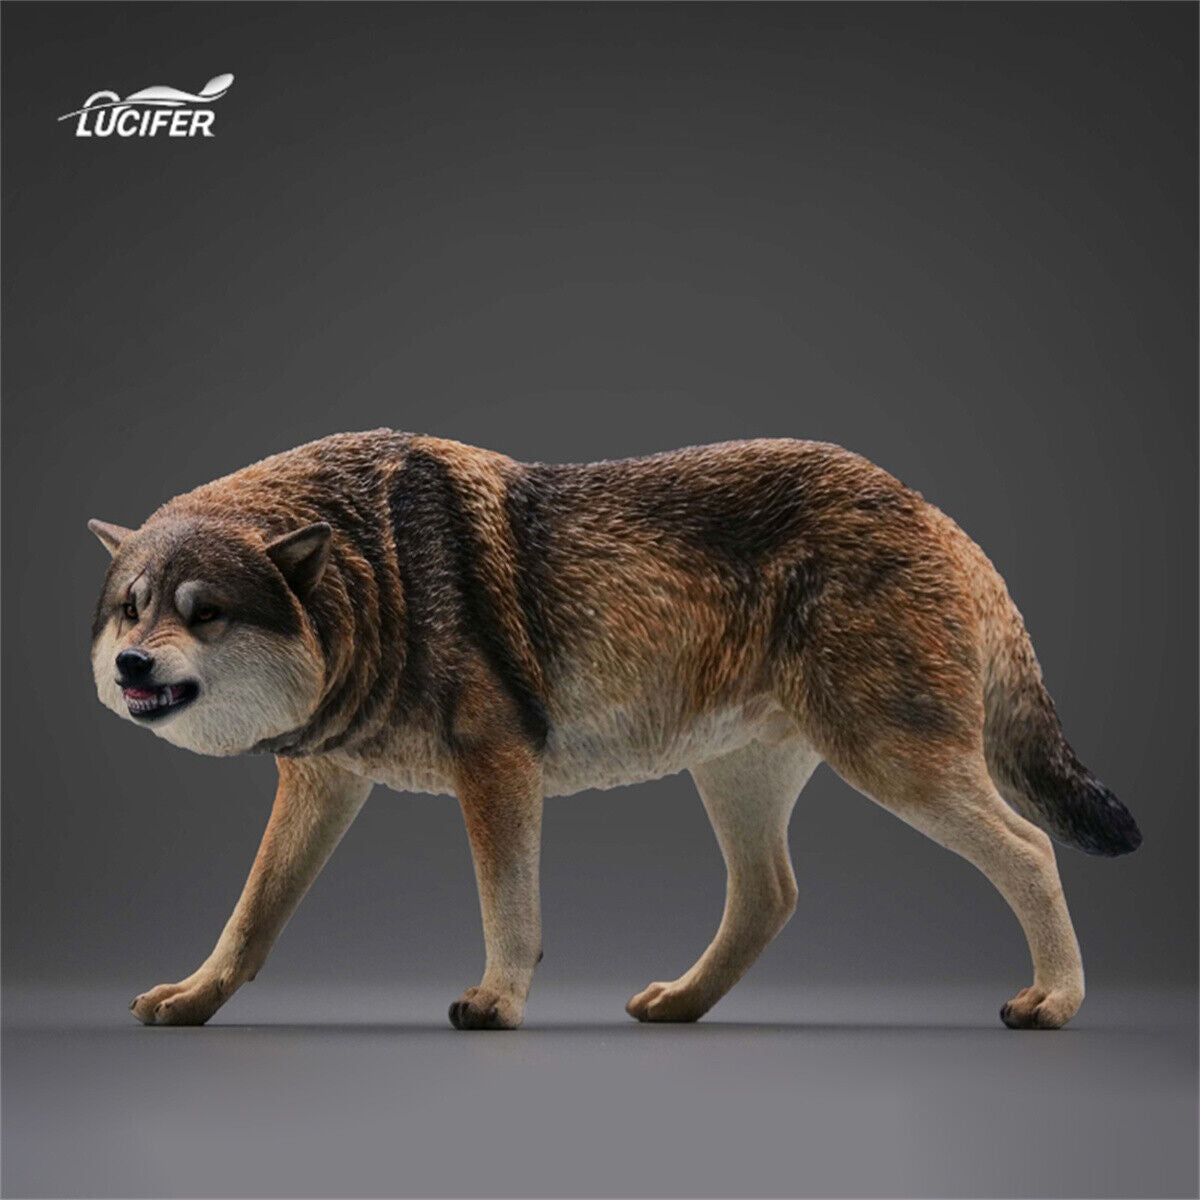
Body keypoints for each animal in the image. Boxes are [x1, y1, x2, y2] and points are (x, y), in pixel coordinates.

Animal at [89, 431, 1140, 1030]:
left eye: (204, 612)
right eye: (130, 607)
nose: (129, 666)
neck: (375, 572)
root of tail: (932, 510)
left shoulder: (497, 764)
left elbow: (508, 907)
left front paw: (499, 1002)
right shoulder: (323, 781)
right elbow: (249, 916)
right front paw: (192, 999)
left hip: (894, 761)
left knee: (1032, 848)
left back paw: (1055, 1001)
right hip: (740, 778)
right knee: (772, 894)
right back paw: (681, 1004)